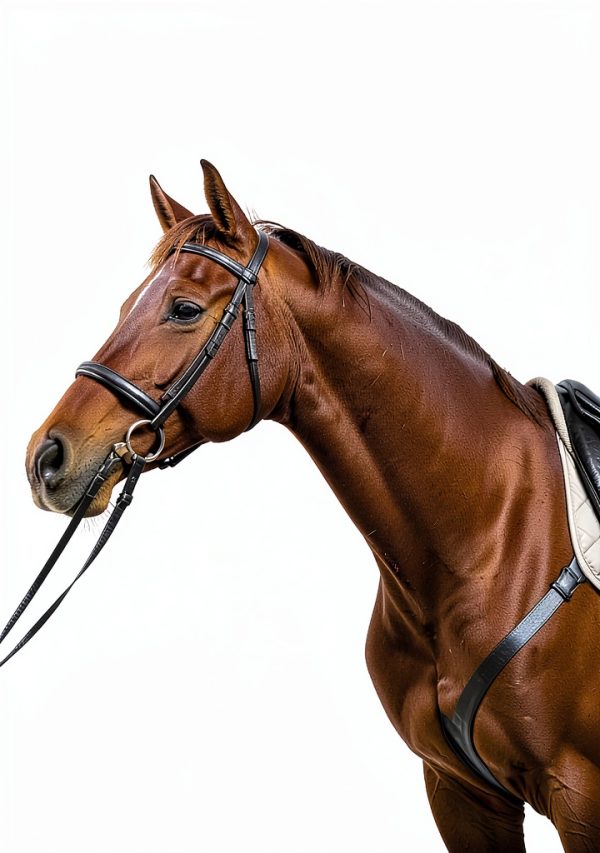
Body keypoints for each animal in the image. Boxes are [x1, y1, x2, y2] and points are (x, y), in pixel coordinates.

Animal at [25, 161, 600, 852]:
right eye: (124, 307)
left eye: (183, 309)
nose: (45, 457)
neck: (491, 538)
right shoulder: (460, 793)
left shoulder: (580, 795)